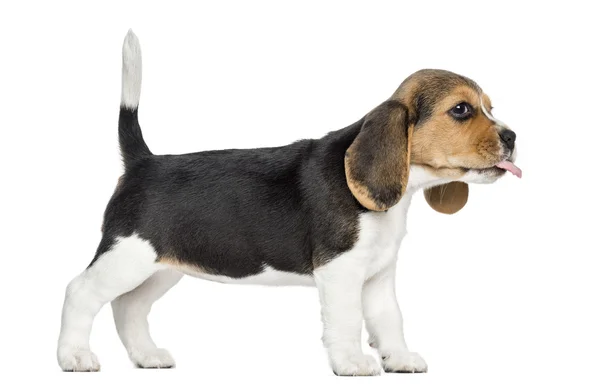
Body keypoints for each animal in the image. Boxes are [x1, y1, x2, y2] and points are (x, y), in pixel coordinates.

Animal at [58, 30, 524, 376]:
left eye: (489, 107)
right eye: (461, 110)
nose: (513, 137)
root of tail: (144, 162)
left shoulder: (379, 275)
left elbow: (389, 319)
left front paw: (399, 358)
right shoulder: (340, 272)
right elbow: (347, 319)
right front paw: (352, 363)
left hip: (162, 266)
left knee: (128, 306)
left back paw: (146, 356)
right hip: (127, 255)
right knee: (80, 291)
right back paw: (74, 356)